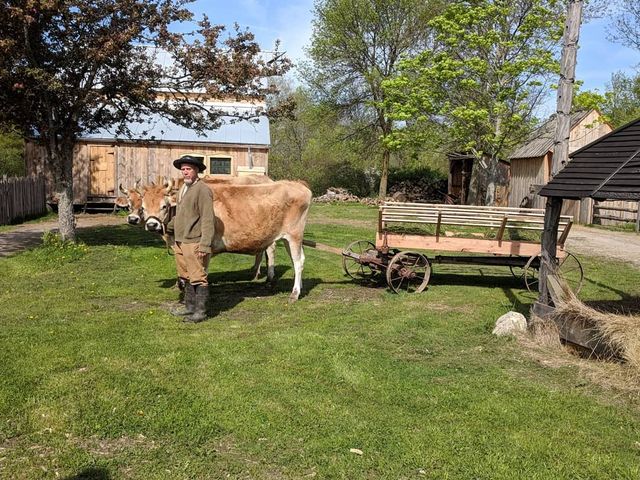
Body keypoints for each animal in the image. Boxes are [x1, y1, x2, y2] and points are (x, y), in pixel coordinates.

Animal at [141, 180, 312, 302]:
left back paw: (294, 293)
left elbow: (201, 273)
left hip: (294, 235)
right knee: (299, 259)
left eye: (164, 206)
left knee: (297, 262)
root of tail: (297, 183)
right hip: (287, 238)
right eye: (143, 208)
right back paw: (299, 288)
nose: (151, 225)